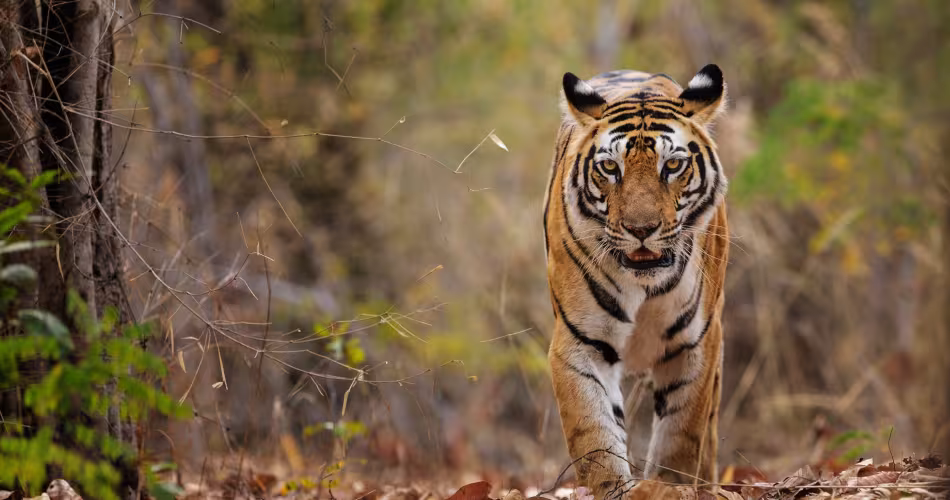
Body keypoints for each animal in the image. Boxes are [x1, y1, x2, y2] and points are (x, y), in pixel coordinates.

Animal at [542, 64, 729, 498]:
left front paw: (670, 486)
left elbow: (682, 434)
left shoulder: (695, 343)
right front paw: (614, 487)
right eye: (611, 168)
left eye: (672, 166)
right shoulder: (581, 342)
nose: (641, 229)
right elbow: (594, 435)